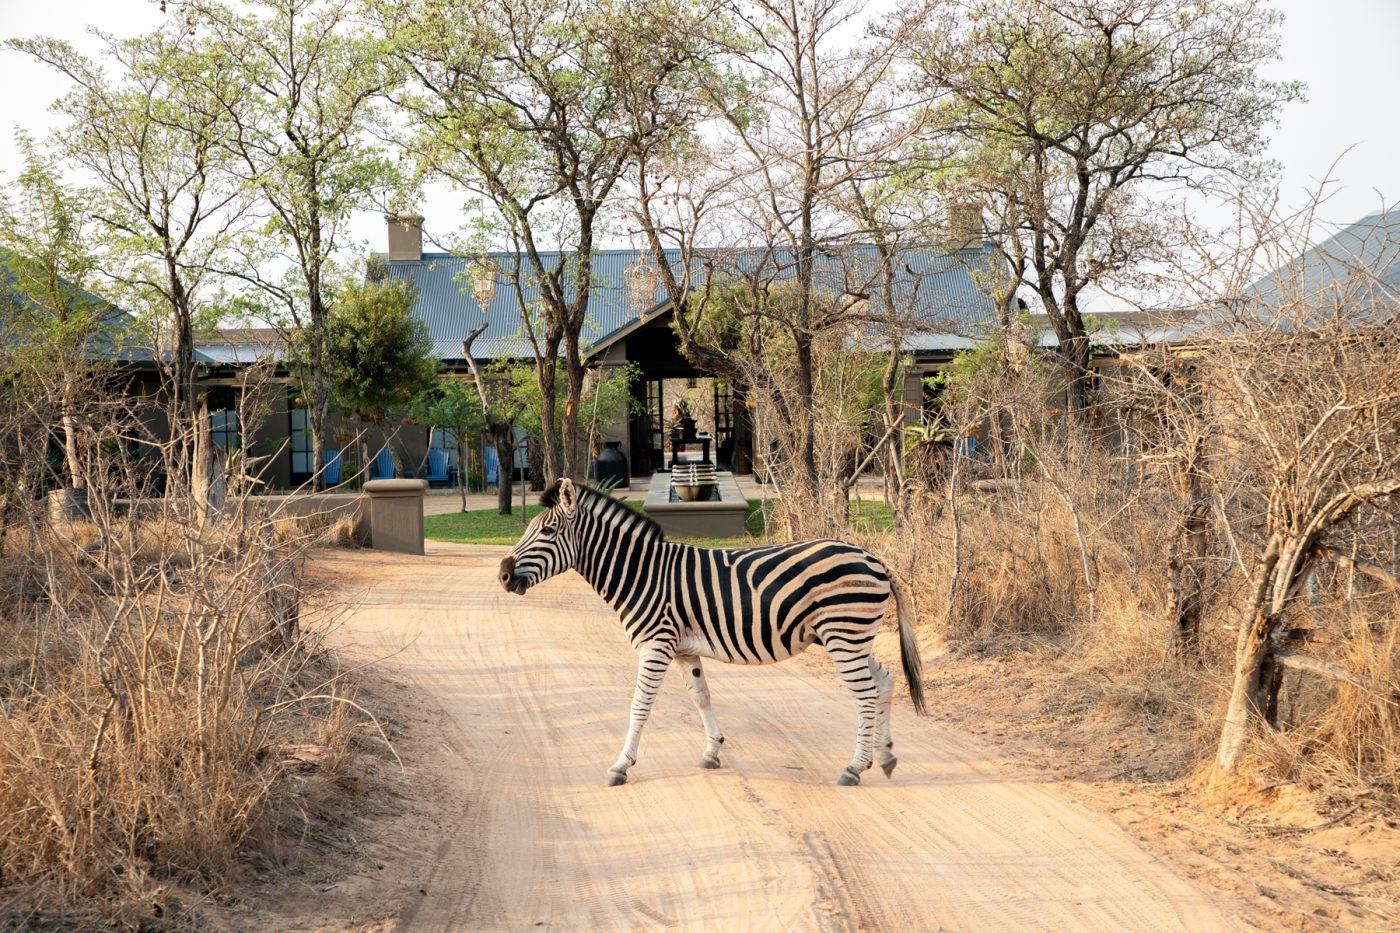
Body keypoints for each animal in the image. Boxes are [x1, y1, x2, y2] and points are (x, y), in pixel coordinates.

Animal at [498, 479, 924, 784]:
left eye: (548, 532)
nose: (502, 575)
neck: (641, 574)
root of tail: (875, 559)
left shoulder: (655, 644)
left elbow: (639, 706)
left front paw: (621, 765)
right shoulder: (683, 648)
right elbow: (700, 697)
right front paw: (712, 751)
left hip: (843, 634)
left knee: (865, 694)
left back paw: (854, 767)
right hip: (851, 638)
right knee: (885, 681)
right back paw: (885, 756)